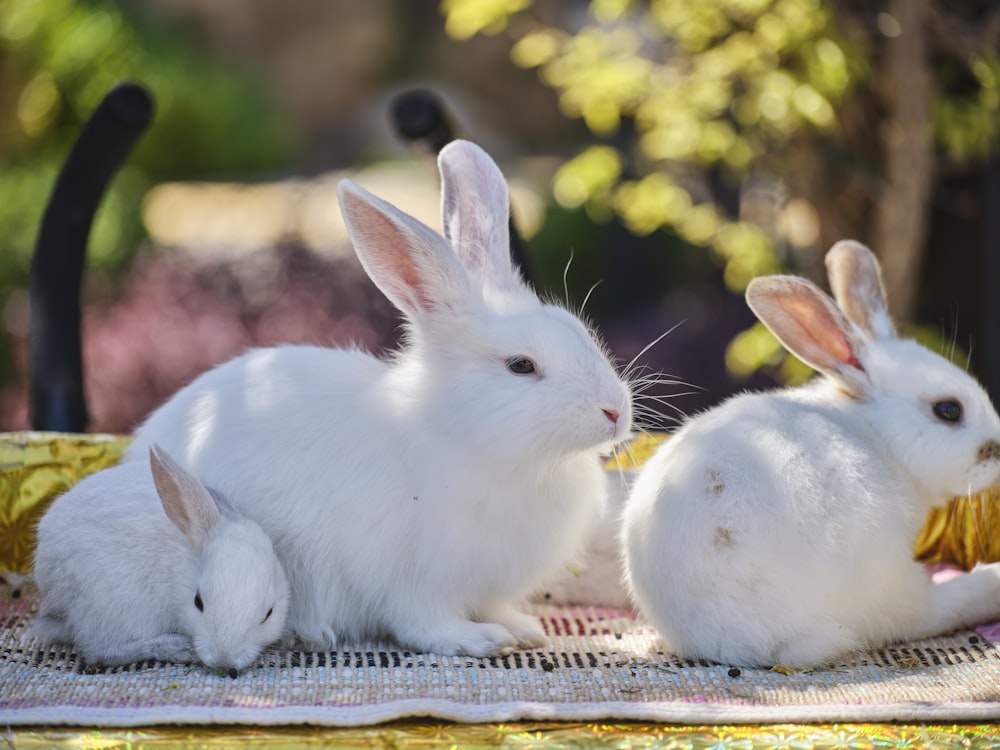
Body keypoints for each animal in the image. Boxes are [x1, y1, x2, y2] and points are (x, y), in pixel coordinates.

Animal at [31, 446, 290, 676]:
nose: (223, 661)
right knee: (102, 651)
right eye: (198, 602)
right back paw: (178, 647)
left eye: (268, 614)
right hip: (111, 606)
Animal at [127, 141, 632, 656]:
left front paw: (523, 629)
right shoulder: (411, 576)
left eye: (579, 331)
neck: (472, 443)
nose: (615, 410)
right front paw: (479, 639)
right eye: (521, 366)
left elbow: (494, 606)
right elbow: (423, 623)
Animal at [620, 241, 1000, 668]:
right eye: (948, 410)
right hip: (888, 576)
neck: (878, 432)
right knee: (927, 611)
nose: (997, 449)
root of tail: (740, 639)